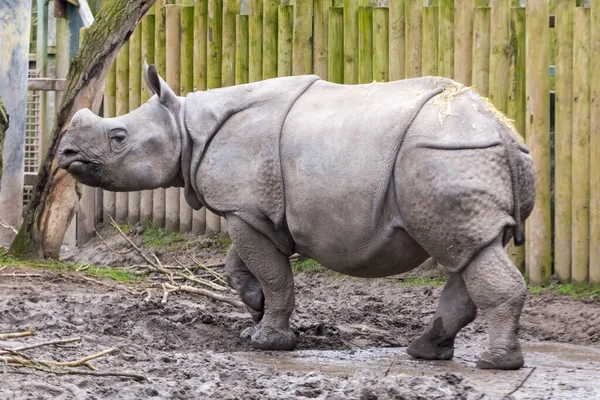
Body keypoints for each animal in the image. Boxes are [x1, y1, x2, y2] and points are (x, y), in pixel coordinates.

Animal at [58, 64, 536, 370]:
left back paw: (495, 364)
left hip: (447, 154)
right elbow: (241, 266)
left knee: (466, 250)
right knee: (471, 252)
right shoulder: (252, 209)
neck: (186, 123)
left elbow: (273, 273)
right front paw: (254, 310)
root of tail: (504, 130)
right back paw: (425, 352)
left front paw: (267, 341)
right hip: (461, 157)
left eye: (118, 137)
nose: (65, 153)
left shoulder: (243, 208)